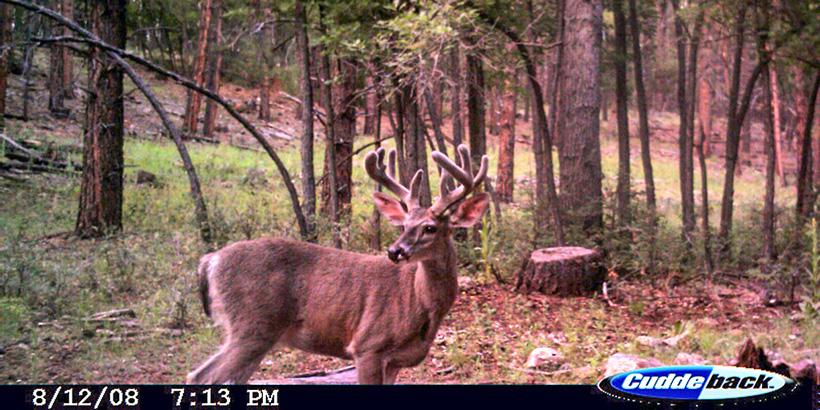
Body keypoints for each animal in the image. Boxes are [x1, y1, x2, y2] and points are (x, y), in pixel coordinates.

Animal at [186, 144, 489, 384]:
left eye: (429, 228)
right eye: (404, 225)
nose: (395, 251)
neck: (420, 303)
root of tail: (211, 260)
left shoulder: (395, 361)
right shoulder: (367, 345)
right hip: (253, 325)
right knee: (200, 376)